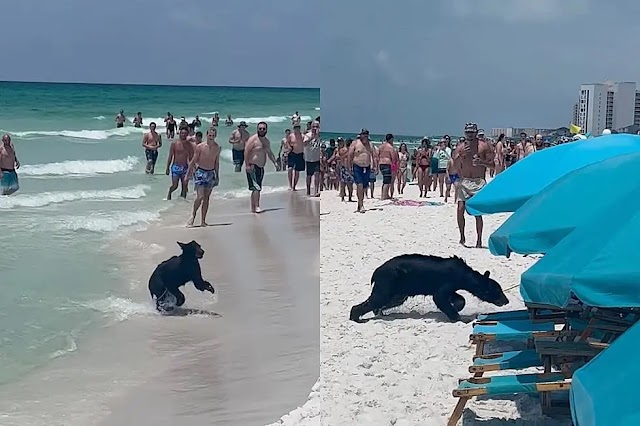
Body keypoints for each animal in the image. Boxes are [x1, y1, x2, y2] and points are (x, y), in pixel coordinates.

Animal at [350, 253, 510, 322]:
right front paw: (457, 317)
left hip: (399, 291)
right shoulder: (448, 282)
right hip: (388, 282)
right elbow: (439, 297)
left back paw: (379, 312)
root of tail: (376, 272)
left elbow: (457, 298)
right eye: (498, 291)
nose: (506, 300)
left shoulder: (451, 287)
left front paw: (457, 306)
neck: (464, 275)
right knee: (375, 300)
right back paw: (356, 317)